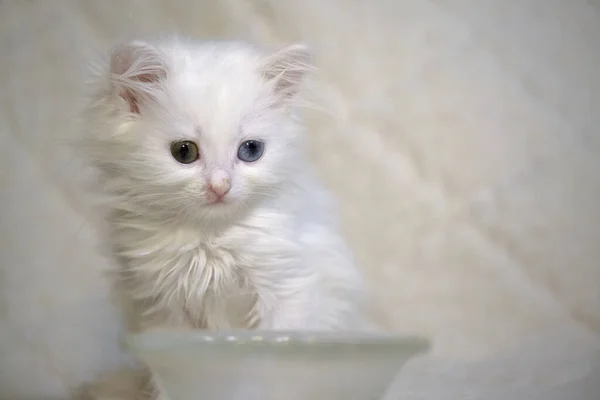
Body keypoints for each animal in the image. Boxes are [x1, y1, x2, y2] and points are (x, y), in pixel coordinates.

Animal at [79, 36, 370, 334]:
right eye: (184, 151)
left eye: (251, 150)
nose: (220, 186)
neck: (210, 239)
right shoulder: (159, 303)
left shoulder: (288, 285)